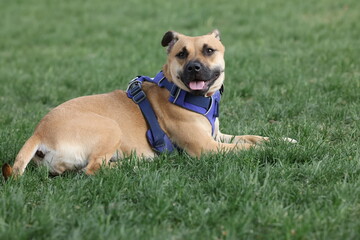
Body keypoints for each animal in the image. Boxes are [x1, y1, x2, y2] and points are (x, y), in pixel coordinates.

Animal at [2, 29, 296, 180]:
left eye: (209, 50)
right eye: (181, 54)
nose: (194, 67)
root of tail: (39, 133)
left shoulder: (218, 135)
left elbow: (252, 137)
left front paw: (282, 140)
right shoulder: (208, 147)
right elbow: (247, 148)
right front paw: (271, 150)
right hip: (110, 128)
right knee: (92, 169)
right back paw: (135, 165)